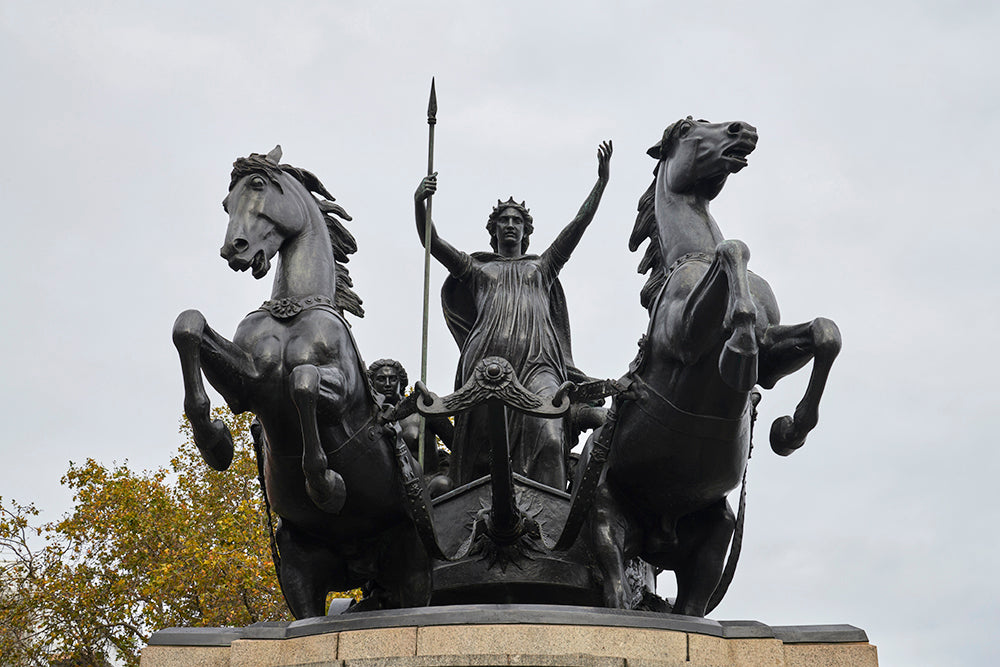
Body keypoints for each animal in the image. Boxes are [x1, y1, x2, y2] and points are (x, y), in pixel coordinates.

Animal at [173, 149, 430, 620]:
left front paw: (325, 486)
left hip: (414, 561)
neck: (293, 307)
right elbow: (188, 325)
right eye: (226, 203)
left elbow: (303, 382)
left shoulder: (341, 391)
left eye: (257, 185)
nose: (234, 250)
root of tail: (362, 566)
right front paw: (215, 442)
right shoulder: (249, 383)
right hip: (298, 569)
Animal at [584, 117, 840, 620]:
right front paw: (737, 349)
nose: (744, 130)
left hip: (715, 535)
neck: (693, 256)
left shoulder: (774, 355)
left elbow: (825, 333)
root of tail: (658, 537)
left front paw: (789, 431)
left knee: (692, 606)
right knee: (616, 592)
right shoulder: (682, 336)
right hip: (604, 517)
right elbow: (733, 248)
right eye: (686, 129)